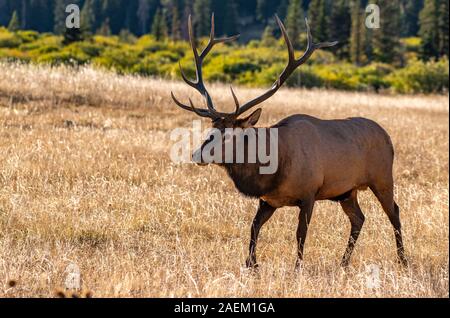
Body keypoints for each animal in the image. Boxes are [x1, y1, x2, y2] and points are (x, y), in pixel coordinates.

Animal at [171, 14, 408, 268]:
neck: (272, 169)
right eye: (211, 129)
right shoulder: (268, 200)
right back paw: (343, 262)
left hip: (382, 178)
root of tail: (388, 137)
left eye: (230, 134)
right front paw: (251, 263)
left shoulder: (309, 194)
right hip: (347, 191)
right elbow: (253, 227)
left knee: (394, 212)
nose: (196, 154)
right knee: (359, 218)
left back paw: (403, 260)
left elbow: (300, 234)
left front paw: (297, 267)